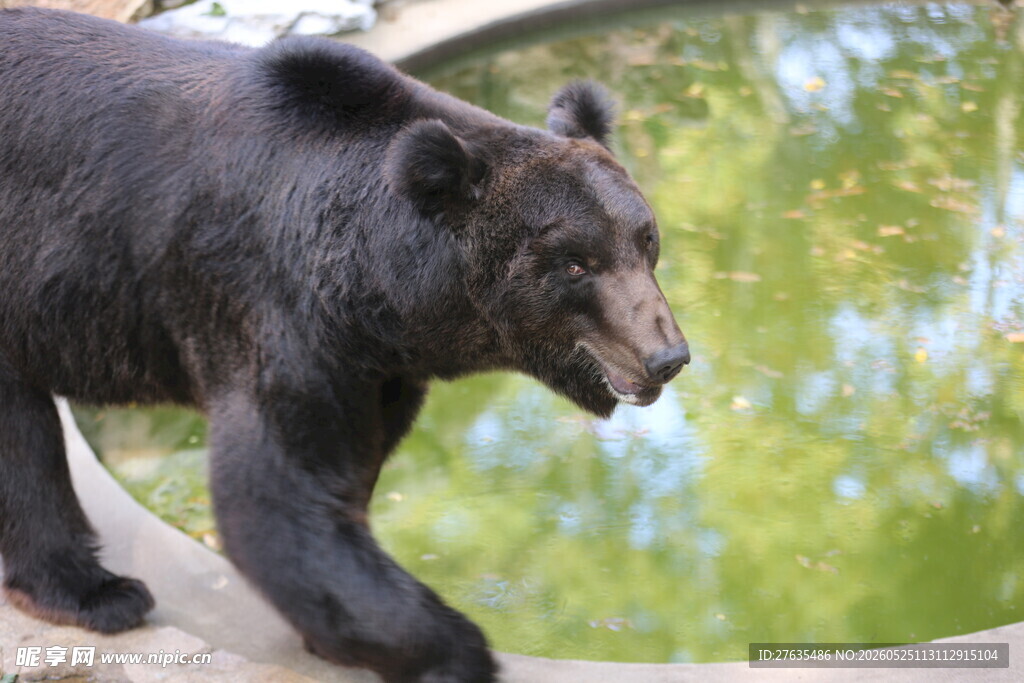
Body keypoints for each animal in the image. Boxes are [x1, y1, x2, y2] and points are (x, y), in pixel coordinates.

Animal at [0, 7, 689, 682]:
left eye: (645, 240)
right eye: (576, 264)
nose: (667, 356)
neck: (380, 296)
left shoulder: (376, 369)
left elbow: (350, 472)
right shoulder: (273, 312)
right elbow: (278, 492)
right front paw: (456, 650)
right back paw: (99, 591)